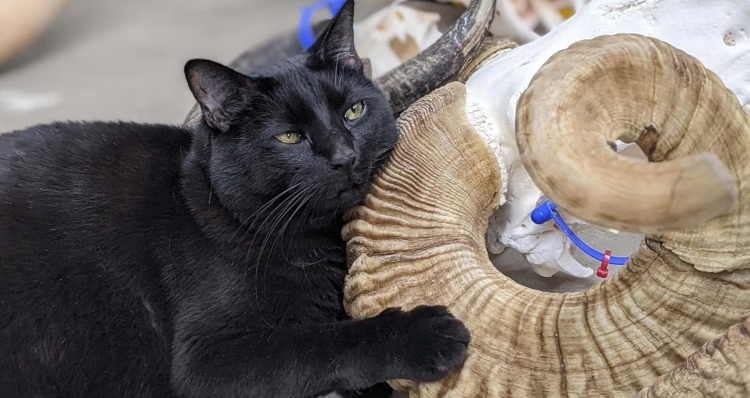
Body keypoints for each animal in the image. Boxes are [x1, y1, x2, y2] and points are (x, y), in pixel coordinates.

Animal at [0, 0, 470, 398]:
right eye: (289, 137)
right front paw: (427, 334)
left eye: (354, 111)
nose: (344, 155)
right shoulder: (209, 360)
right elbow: (322, 342)